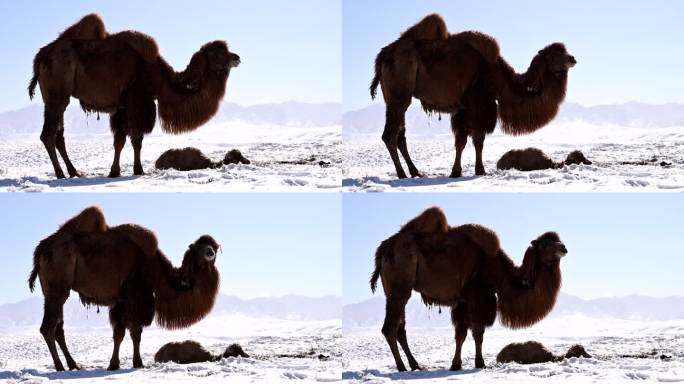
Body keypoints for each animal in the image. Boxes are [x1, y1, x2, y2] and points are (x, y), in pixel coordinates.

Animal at [27, 13, 240, 178]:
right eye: (217, 54)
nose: (237, 57)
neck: (161, 78)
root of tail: (40, 58)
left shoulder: (122, 107)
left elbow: (119, 140)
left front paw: (114, 171)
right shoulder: (139, 101)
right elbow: (137, 139)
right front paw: (138, 170)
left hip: (55, 99)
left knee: (59, 136)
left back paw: (74, 172)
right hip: (56, 97)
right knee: (48, 135)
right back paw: (61, 174)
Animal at [28, 207, 220, 372]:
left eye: (215, 247)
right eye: (199, 248)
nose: (210, 252)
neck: (160, 273)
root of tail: (41, 249)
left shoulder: (121, 301)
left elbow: (118, 333)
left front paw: (114, 364)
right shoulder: (137, 296)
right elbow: (136, 332)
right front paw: (138, 363)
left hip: (52, 292)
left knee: (58, 328)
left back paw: (73, 365)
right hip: (57, 290)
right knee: (48, 327)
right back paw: (60, 366)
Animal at [368, 208, 568, 370]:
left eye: (558, 240)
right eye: (545, 244)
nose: (564, 248)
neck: (501, 272)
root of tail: (383, 250)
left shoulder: (463, 301)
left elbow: (461, 334)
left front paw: (456, 365)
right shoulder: (478, 294)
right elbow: (478, 332)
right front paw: (480, 363)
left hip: (395, 292)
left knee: (400, 329)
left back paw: (416, 365)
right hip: (399, 289)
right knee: (389, 328)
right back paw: (402, 367)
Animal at [372, 13, 576, 178]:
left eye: (565, 52)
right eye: (553, 56)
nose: (573, 59)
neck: (499, 77)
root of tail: (383, 56)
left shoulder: (463, 108)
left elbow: (461, 141)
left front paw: (457, 171)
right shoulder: (479, 102)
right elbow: (477, 140)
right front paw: (478, 170)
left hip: (393, 99)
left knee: (400, 136)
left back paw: (415, 172)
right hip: (399, 96)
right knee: (390, 135)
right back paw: (402, 174)